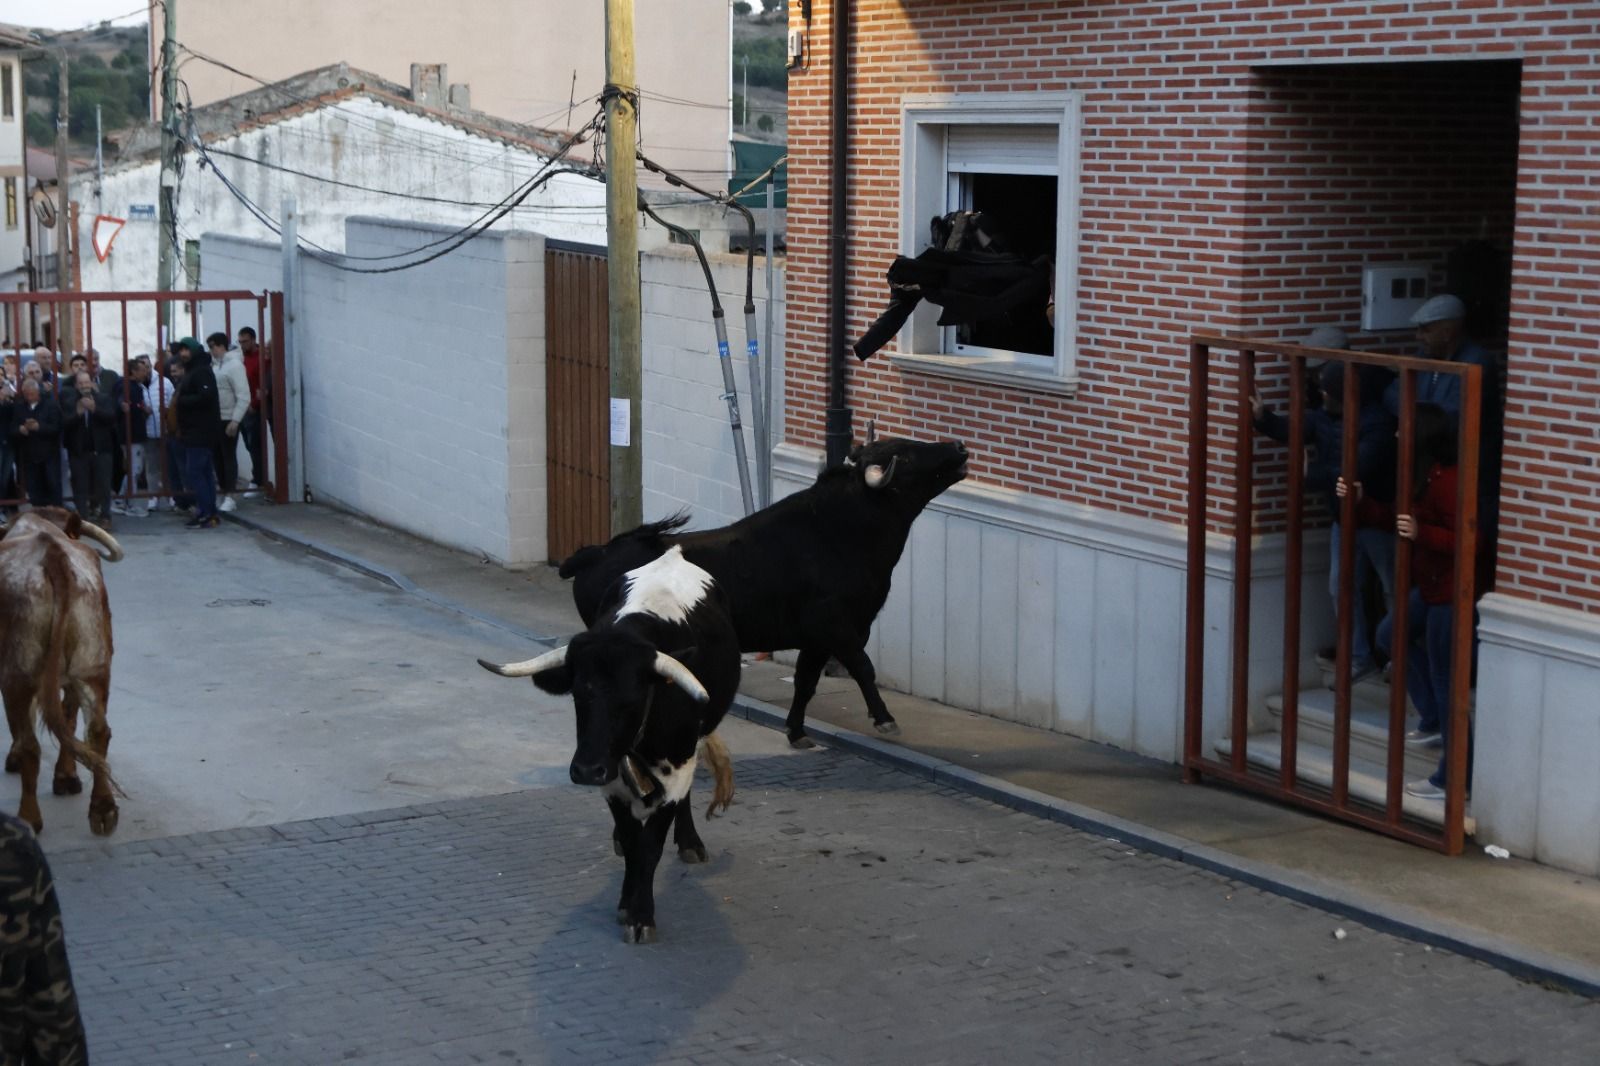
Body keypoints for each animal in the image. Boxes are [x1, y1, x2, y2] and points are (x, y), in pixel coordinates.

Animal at [0, 505, 121, 832]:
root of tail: (52, 555)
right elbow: (68, 718)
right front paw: (66, 777)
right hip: (93, 667)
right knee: (97, 731)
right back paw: (103, 809)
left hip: (19, 674)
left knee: (30, 743)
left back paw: (29, 817)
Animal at [480, 547, 742, 941]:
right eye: (578, 694)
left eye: (633, 699)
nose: (587, 770)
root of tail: (673, 554)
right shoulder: (613, 781)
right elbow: (634, 845)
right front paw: (626, 903)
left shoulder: (676, 769)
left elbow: (651, 846)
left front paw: (642, 916)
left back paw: (690, 843)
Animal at [556, 435, 966, 742]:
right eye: (906, 456)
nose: (959, 446)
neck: (837, 529)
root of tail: (598, 551)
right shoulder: (837, 627)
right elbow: (863, 668)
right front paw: (884, 718)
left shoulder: (817, 638)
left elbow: (805, 681)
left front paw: (797, 731)